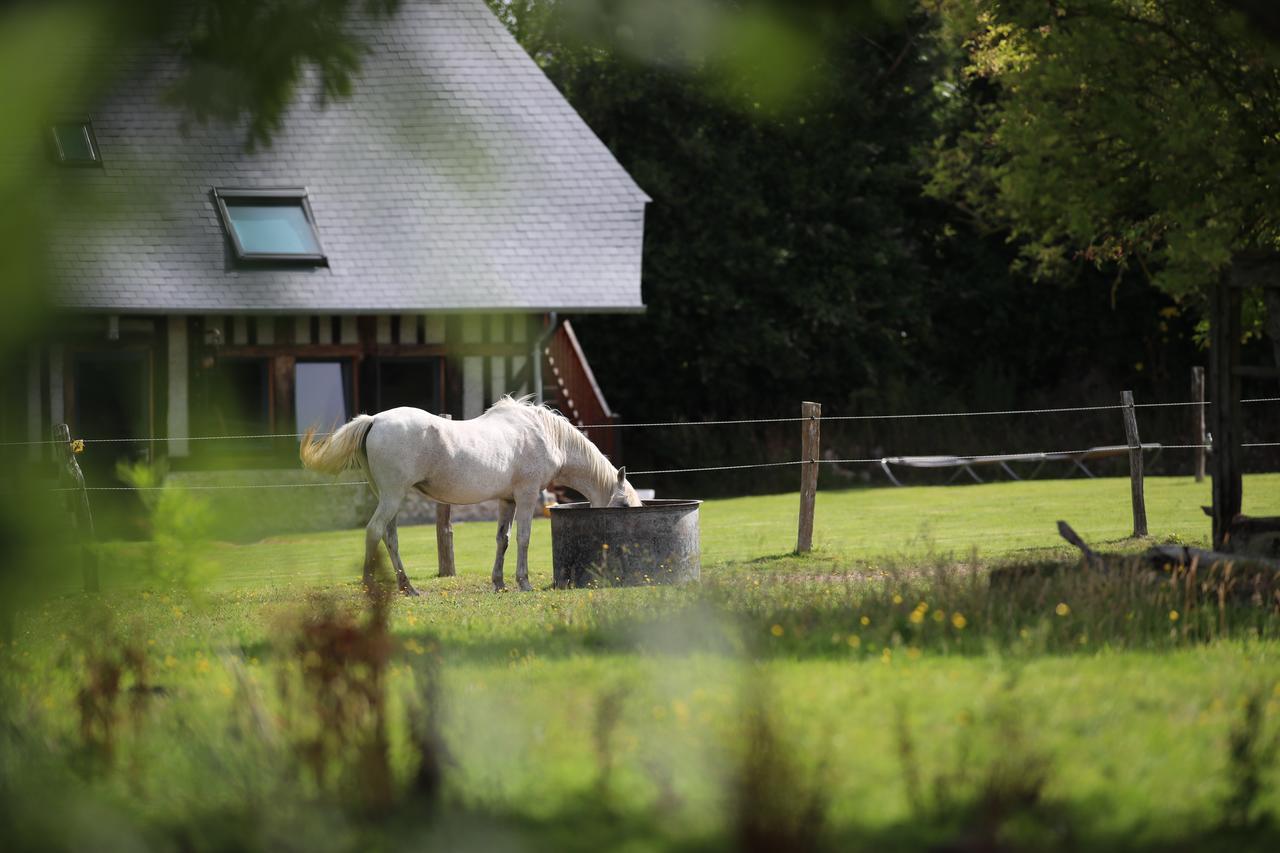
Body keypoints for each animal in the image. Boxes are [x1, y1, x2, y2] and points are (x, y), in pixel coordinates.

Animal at [298, 397, 640, 591]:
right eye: (623, 505)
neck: (544, 435)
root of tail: (374, 420)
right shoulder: (527, 496)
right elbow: (524, 538)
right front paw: (523, 582)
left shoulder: (507, 500)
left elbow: (503, 539)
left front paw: (499, 583)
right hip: (393, 496)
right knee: (374, 531)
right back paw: (372, 585)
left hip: (387, 498)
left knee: (389, 537)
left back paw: (407, 587)